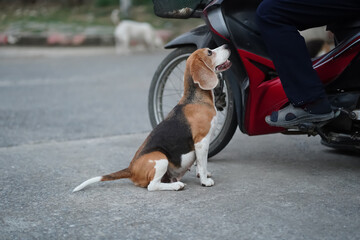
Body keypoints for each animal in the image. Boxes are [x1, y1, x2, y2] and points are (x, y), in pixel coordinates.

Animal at [73, 44, 231, 191]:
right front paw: (205, 181)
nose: (227, 45)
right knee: (152, 186)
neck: (195, 98)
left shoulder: (201, 144)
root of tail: (131, 169)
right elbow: (203, 163)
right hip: (160, 158)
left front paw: (203, 174)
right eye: (209, 52)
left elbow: (200, 163)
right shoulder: (201, 141)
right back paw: (176, 185)